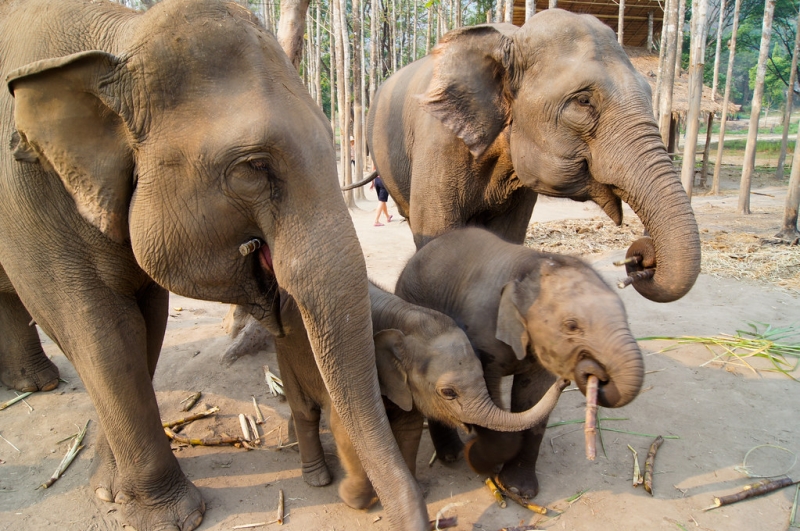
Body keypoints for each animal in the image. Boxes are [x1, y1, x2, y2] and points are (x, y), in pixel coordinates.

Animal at [1, 1, 432, 531]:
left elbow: (146, 325)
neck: (119, 33)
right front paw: (169, 516)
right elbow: (99, 331)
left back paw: (32, 383)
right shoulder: (25, 203)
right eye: (253, 167)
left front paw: (109, 485)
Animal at [276, 282, 568, 512]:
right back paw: (318, 478)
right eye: (448, 392)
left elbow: (410, 429)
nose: (565, 380)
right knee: (305, 410)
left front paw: (417, 490)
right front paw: (355, 501)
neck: (407, 320)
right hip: (287, 352)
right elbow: (345, 431)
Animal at [368, 8, 700, 306]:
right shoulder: (438, 143)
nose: (638, 260)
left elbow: (506, 235)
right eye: (583, 101)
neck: (510, 38)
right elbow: (439, 234)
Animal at [394, 228, 644, 498]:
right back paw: (454, 456)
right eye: (571, 326)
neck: (532, 265)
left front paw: (518, 489)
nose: (590, 371)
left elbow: (534, 398)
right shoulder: (481, 335)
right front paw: (476, 457)